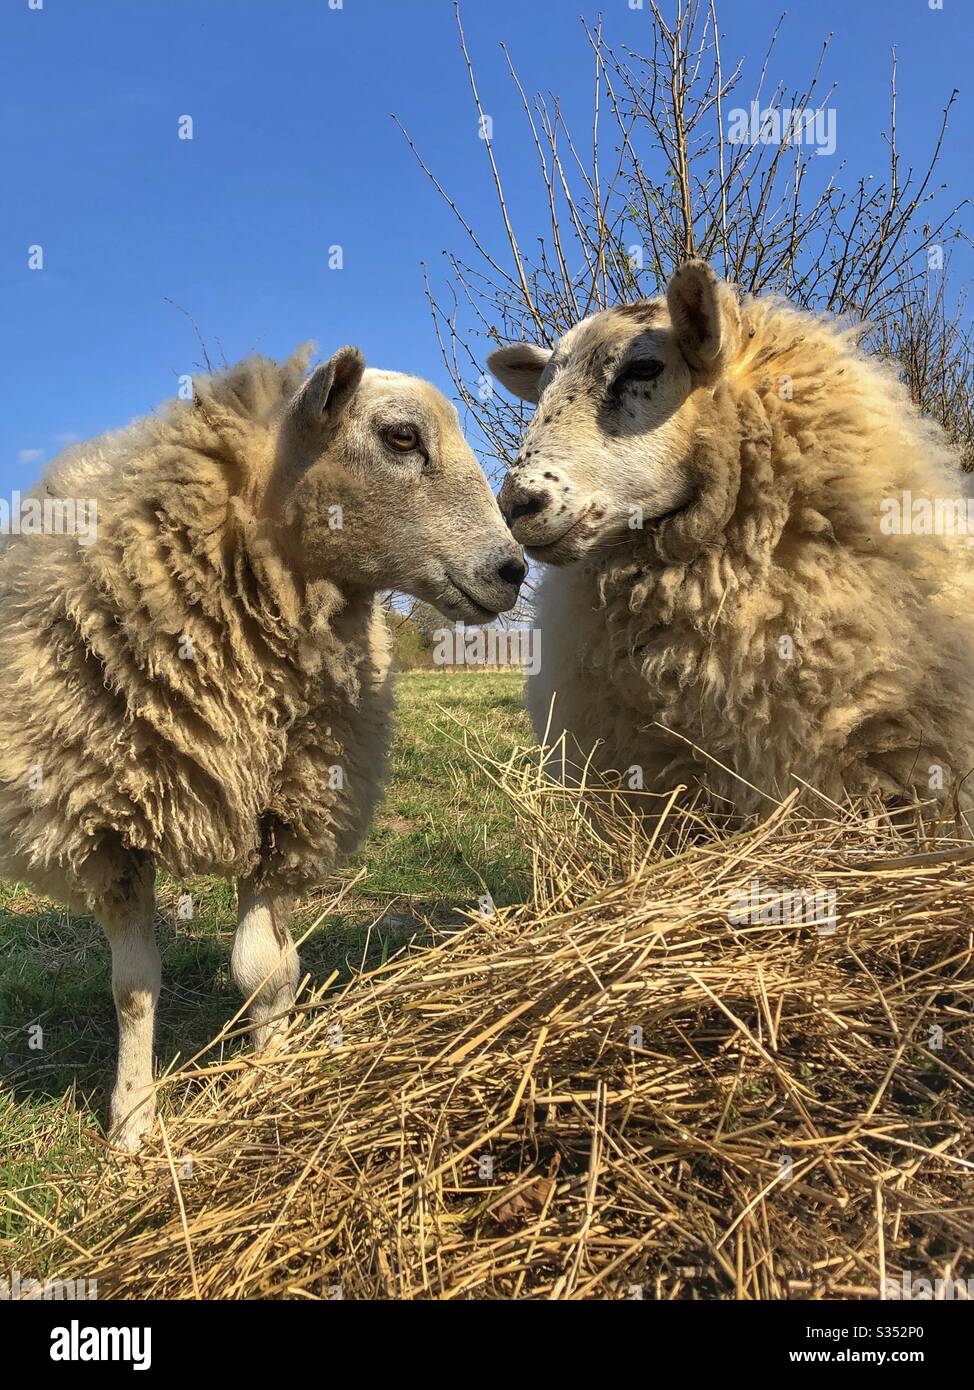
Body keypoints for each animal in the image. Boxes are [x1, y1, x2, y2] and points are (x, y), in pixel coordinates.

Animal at [0, 344, 526, 1149]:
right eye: (401, 437)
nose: (513, 570)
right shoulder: (109, 831)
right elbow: (133, 987)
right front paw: (132, 1122)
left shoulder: (288, 815)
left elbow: (264, 970)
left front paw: (274, 1075)